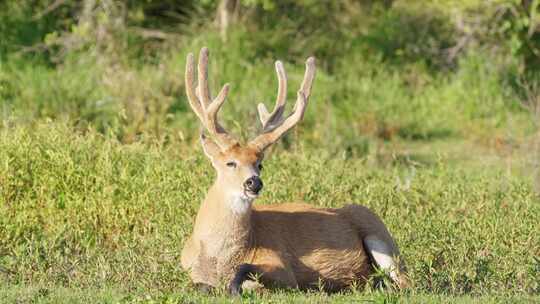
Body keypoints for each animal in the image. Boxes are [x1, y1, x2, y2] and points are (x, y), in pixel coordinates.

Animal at [181, 47, 410, 294]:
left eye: (260, 164)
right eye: (230, 163)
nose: (254, 182)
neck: (218, 259)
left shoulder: (283, 267)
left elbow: (248, 272)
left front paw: (236, 287)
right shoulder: (189, 270)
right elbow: (201, 285)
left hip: (380, 235)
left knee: (406, 282)